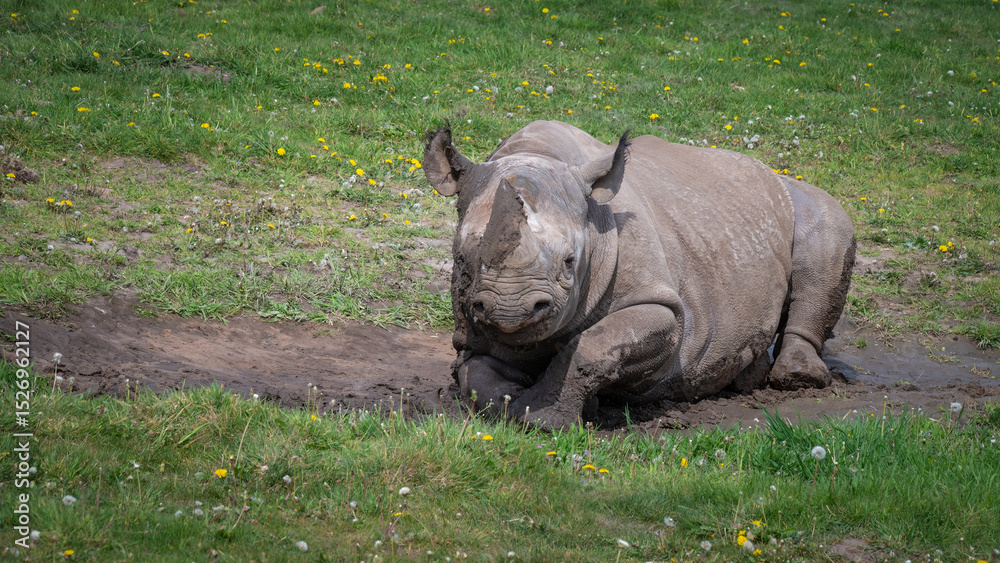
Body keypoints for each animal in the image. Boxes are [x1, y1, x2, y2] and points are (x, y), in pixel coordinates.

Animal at [423, 120, 855, 429]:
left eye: (569, 262)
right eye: (461, 260)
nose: (511, 310)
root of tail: (765, 167)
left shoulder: (662, 305)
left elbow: (594, 345)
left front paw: (544, 421)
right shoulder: (477, 332)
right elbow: (479, 377)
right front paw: (520, 408)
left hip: (799, 197)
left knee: (826, 227)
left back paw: (797, 378)